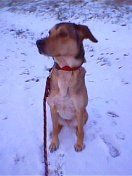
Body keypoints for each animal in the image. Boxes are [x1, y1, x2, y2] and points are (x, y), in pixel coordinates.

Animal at [36, 22, 97, 152]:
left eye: (63, 33)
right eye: (49, 32)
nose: (38, 42)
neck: (66, 69)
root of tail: (68, 123)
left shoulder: (79, 109)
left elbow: (81, 131)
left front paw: (79, 144)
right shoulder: (52, 107)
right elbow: (55, 129)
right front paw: (54, 143)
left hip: (85, 114)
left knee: (79, 127)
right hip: (56, 116)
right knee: (57, 127)